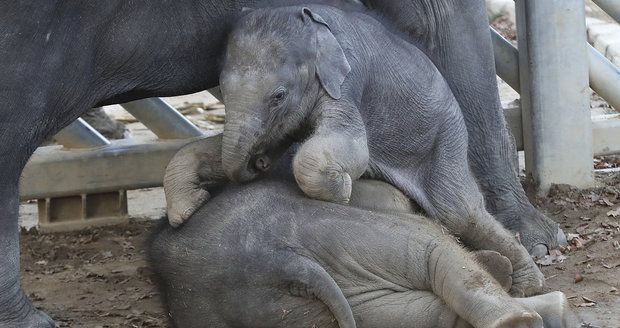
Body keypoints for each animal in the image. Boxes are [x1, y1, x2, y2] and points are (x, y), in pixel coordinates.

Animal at [167, 4, 544, 298]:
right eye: (222, 89)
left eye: (278, 95)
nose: (258, 161)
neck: (310, 25)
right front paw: (185, 211)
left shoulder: (349, 80)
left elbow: (352, 145)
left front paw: (341, 190)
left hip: (446, 135)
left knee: (459, 211)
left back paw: (529, 284)